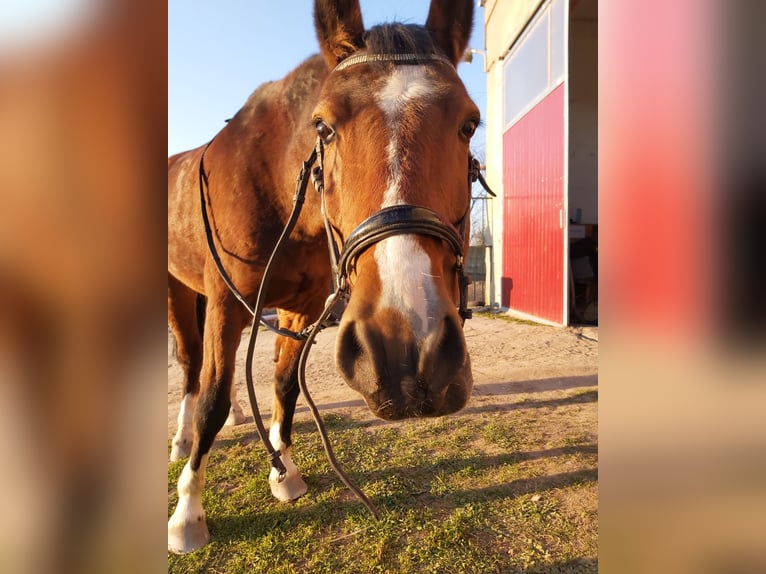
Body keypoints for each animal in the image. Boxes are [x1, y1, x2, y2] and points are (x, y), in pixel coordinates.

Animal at [170, 1, 480, 560]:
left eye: (469, 123)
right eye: (324, 127)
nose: (405, 357)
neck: (272, 189)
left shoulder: (305, 307)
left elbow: (285, 385)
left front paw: (284, 472)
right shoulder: (226, 302)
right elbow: (211, 399)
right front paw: (187, 514)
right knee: (190, 366)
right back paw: (183, 442)